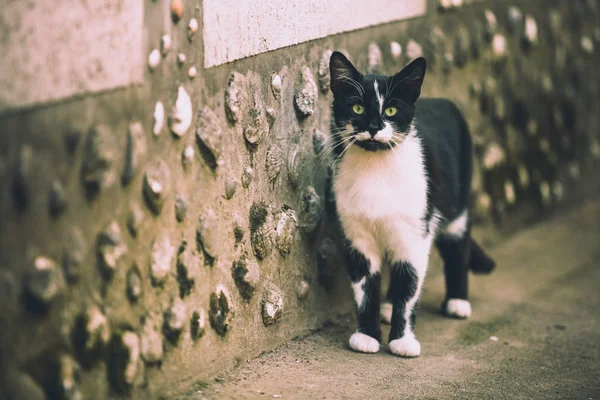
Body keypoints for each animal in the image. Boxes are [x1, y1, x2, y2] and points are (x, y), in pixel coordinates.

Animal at [328, 52, 496, 356]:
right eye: (357, 107)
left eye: (391, 111)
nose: (374, 128)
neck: (376, 167)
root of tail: (440, 100)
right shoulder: (357, 235)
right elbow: (365, 289)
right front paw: (366, 335)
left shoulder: (415, 233)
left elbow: (409, 286)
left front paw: (402, 340)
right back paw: (386, 306)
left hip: (456, 203)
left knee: (458, 243)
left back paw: (457, 301)